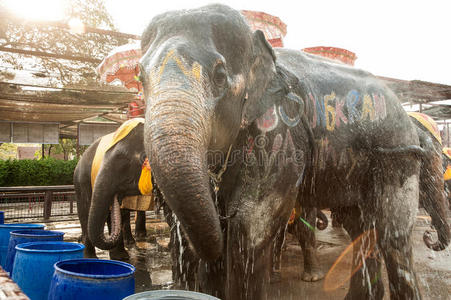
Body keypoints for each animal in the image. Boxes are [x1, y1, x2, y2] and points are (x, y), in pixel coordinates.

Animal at [139, 4, 450, 300]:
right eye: (140, 75)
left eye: (219, 75)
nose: (430, 239)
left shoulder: (280, 132)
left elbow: (250, 227)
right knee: (359, 226)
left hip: (396, 154)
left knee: (392, 234)